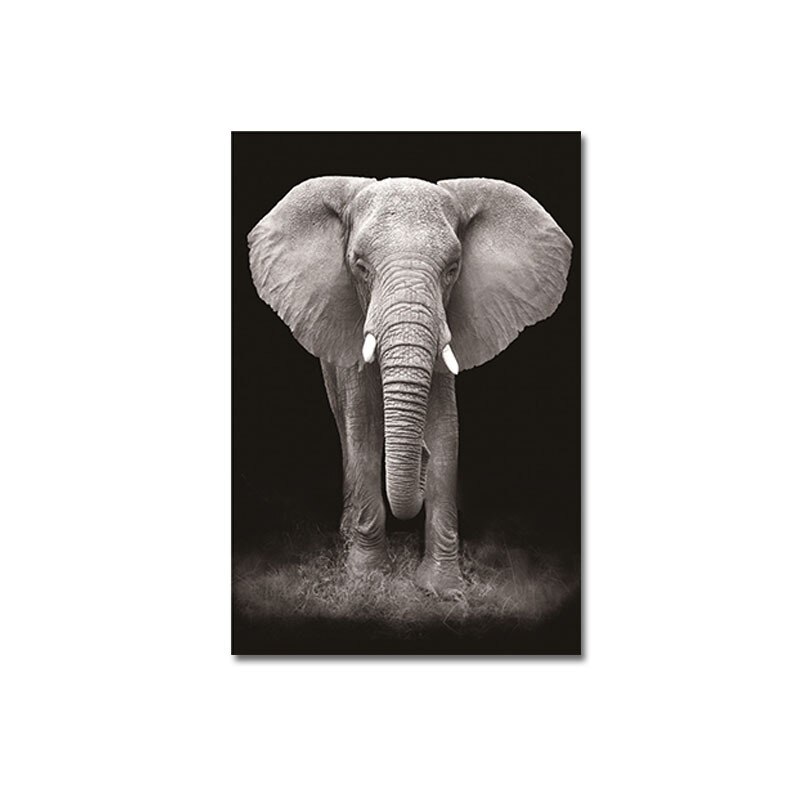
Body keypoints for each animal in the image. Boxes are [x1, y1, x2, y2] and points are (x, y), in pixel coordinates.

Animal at [248, 176, 572, 596]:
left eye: (453, 268)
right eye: (360, 266)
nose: (421, 455)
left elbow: (447, 431)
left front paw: (443, 590)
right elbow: (364, 428)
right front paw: (367, 578)